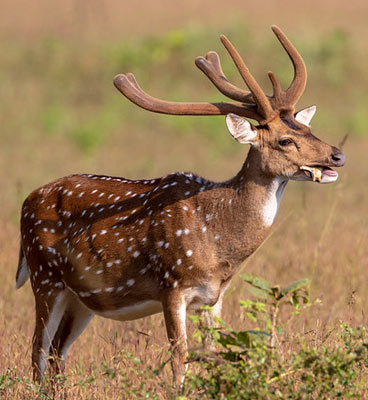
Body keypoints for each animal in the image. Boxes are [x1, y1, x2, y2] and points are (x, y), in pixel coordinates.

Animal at [15, 25, 344, 384]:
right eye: (285, 140)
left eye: (308, 128)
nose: (337, 155)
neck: (216, 238)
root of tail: (27, 201)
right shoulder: (171, 283)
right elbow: (179, 358)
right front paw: (179, 388)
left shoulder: (214, 297)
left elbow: (216, 353)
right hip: (45, 276)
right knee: (38, 351)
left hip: (83, 298)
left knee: (57, 353)